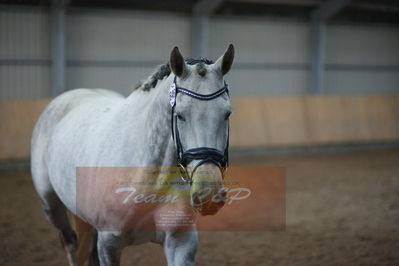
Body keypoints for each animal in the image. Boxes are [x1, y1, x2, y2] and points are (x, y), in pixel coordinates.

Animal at [32, 44, 236, 264]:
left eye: (227, 114)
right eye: (180, 115)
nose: (209, 195)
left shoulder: (181, 241)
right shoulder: (109, 244)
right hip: (51, 205)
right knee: (69, 242)